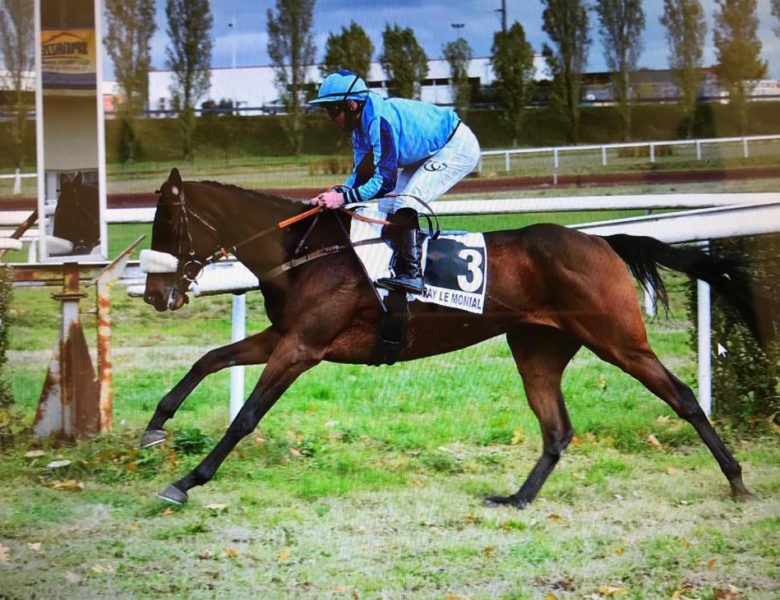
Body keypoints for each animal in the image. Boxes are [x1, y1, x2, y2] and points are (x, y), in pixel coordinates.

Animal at [142, 168, 772, 506]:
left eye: (167, 226)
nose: (154, 294)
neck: (306, 252)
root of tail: (602, 240)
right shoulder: (285, 335)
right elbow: (208, 360)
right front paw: (155, 426)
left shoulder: (303, 348)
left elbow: (246, 415)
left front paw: (187, 481)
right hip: (537, 348)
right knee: (556, 429)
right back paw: (517, 498)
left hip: (618, 339)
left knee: (682, 397)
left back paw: (737, 480)